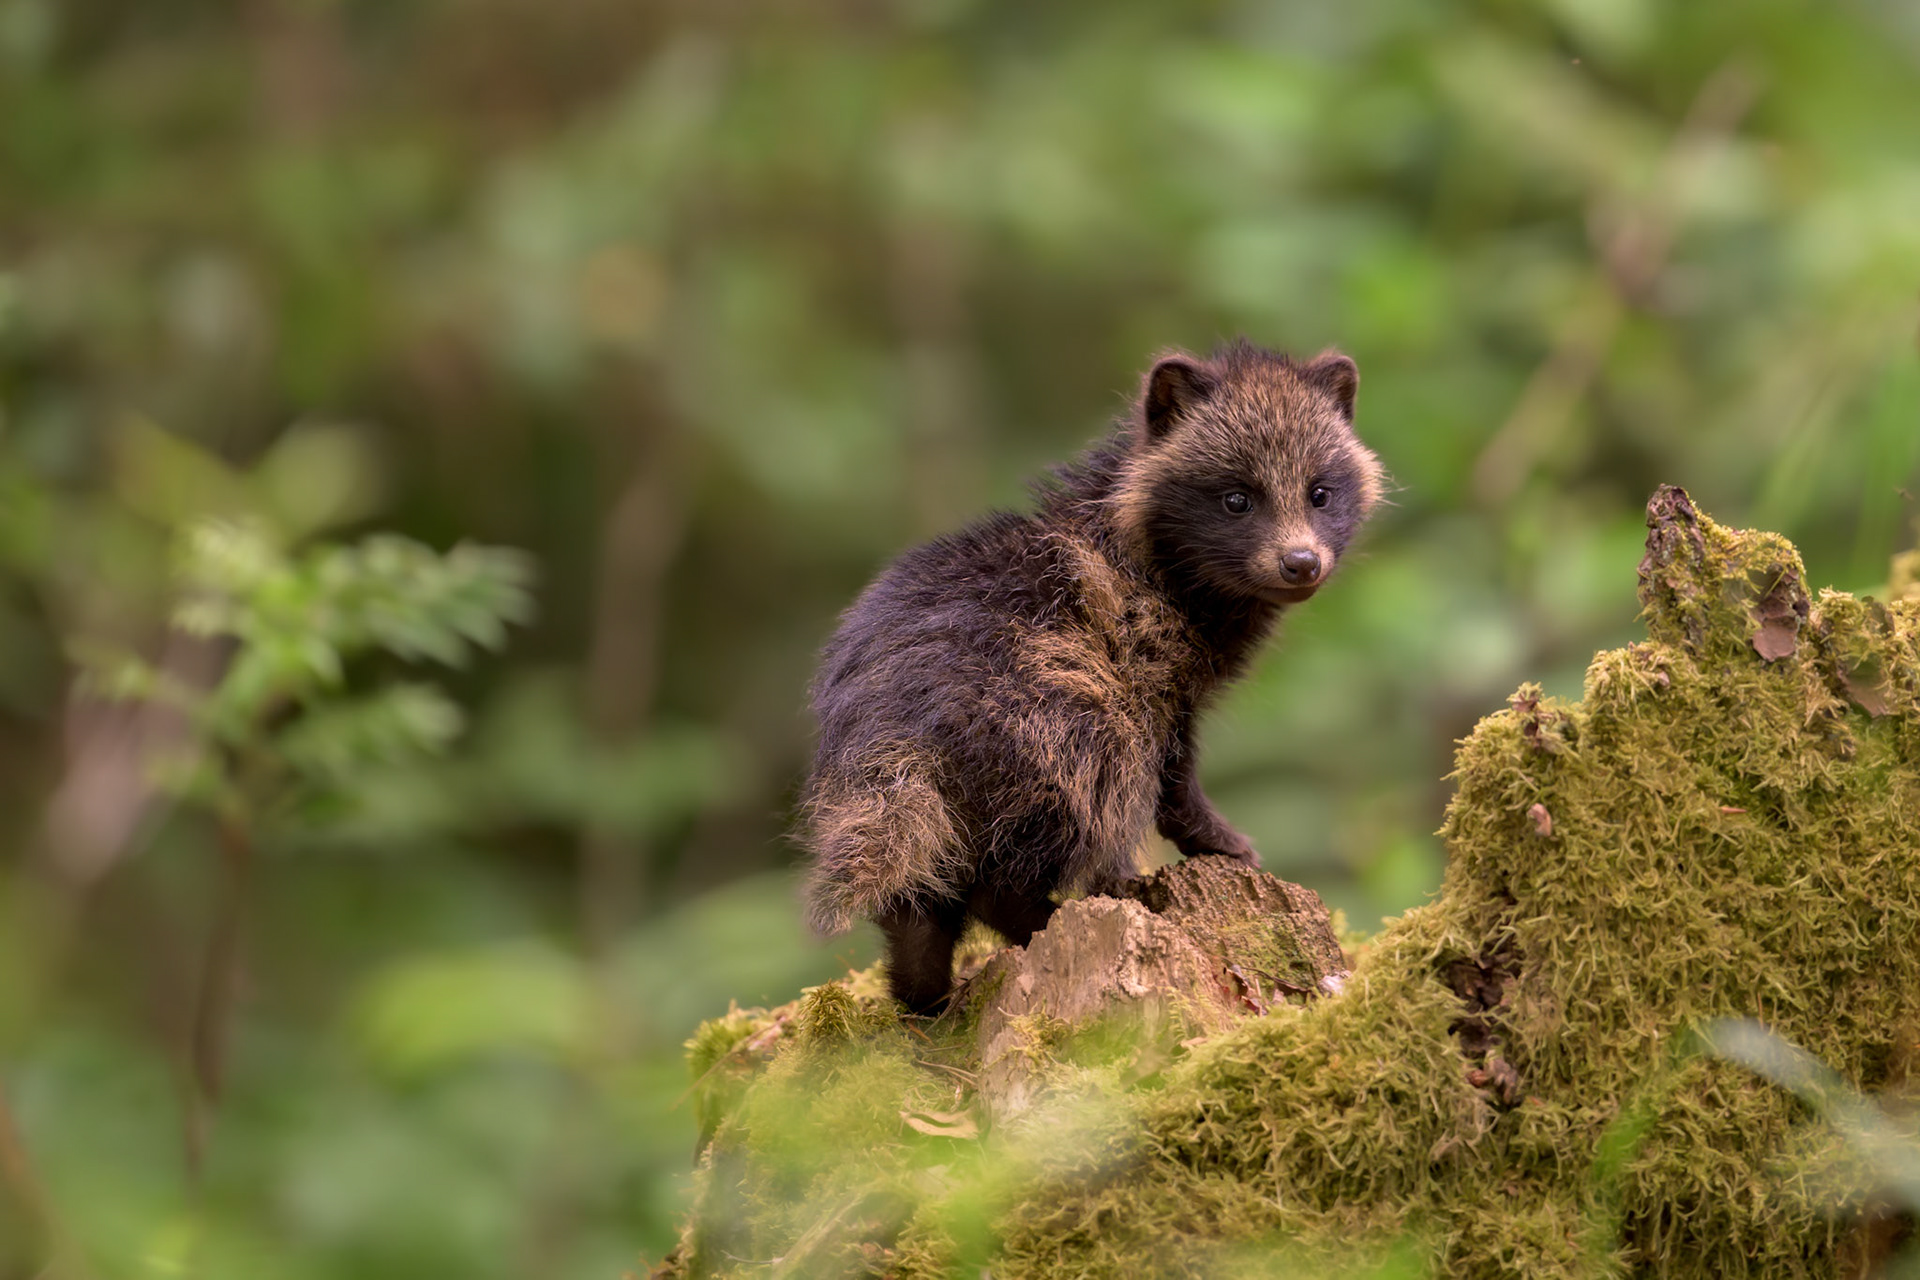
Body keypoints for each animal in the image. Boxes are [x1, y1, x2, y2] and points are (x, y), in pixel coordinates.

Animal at [801, 340, 1384, 1012]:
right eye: (1237, 498)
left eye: (1320, 493)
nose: (1301, 562)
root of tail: (894, 721)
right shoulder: (1145, 660)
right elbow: (1170, 771)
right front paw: (1214, 834)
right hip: (1044, 718)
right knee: (1063, 814)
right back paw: (1038, 915)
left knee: (916, 903)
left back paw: (923, 988)